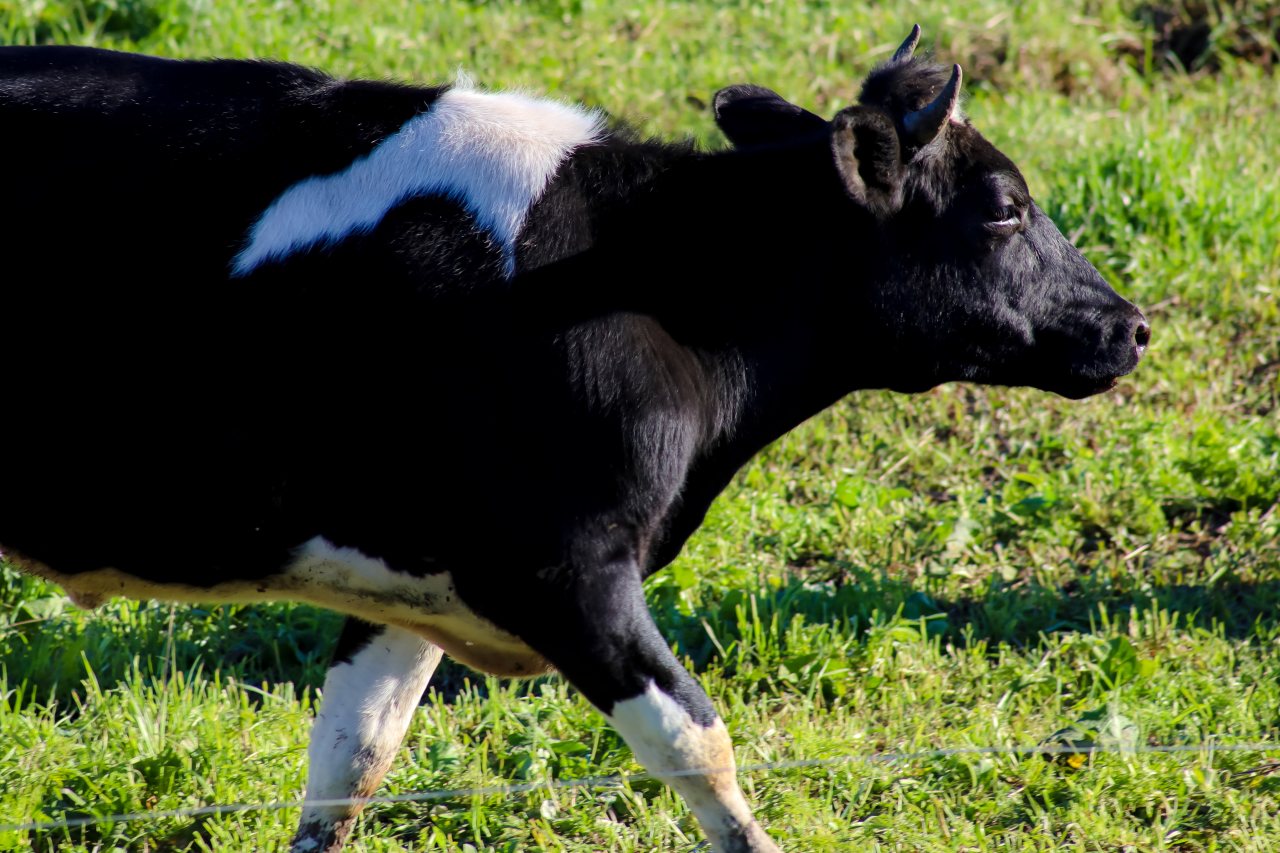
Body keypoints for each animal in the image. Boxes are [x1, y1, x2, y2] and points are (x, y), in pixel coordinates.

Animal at [0, 26, 1141, 850]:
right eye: (1004, 207)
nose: (1127, 325)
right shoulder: (566, 571)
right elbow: (699, 746)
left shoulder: (414, 578)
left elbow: (349, 763)